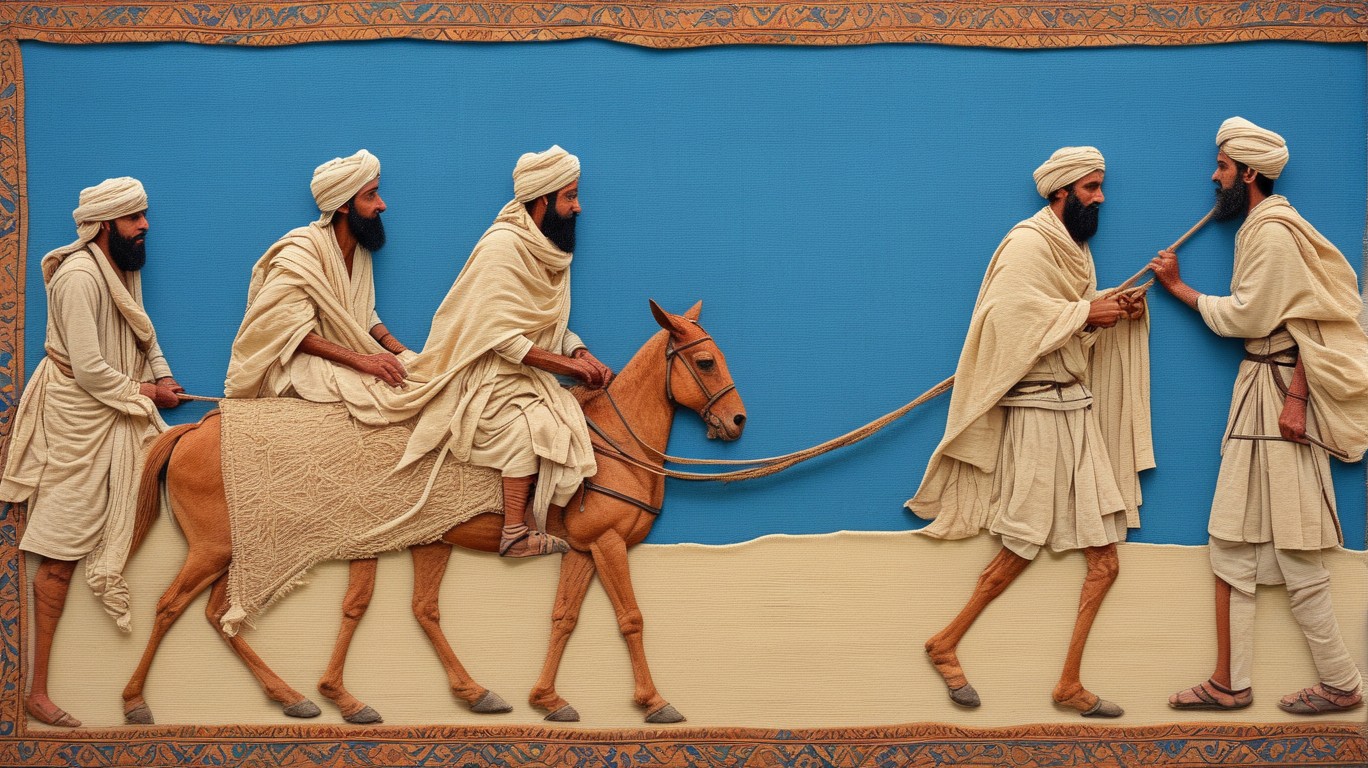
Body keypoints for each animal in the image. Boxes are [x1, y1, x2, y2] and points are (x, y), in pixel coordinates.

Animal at [120, 299, 749, 722]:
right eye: (707, 362)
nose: (736, 422)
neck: (612, 446)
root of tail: (198, 426)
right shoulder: (610, 543)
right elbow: (632, 617)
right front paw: (655, 701)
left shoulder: (588, 548)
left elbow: (563, 618)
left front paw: (548, 699)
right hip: (219, 546)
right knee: (170, 606)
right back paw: (135, 703)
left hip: (257, 549)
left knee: (222, 614)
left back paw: (303, 696)